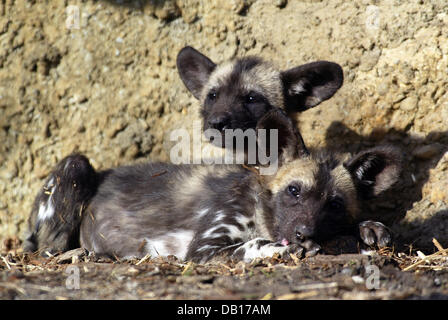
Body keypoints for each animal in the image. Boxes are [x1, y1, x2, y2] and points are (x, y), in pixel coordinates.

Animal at [23, 110, 402, 262]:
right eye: (294, 191)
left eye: (334, 205)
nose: (304, 232)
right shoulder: (203, 249)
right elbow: (250, 245)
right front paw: (277, 248)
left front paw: (369, 228)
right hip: (76, 166)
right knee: (47, 248)